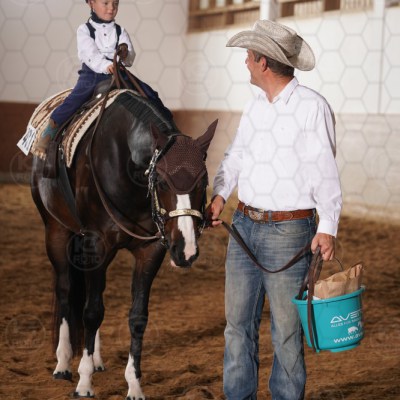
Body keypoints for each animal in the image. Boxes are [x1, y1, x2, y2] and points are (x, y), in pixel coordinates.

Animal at [30, 90, 217, 399]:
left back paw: (95, 359)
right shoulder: (96, 243)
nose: (186, 251)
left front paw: (133, 385)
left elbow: (137, 316)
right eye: (162, 182)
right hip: (56, 231)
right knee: (66, 290)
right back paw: (63, 363)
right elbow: (92, 312)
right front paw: (84, 382)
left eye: (203, 182)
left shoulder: (150, 251)